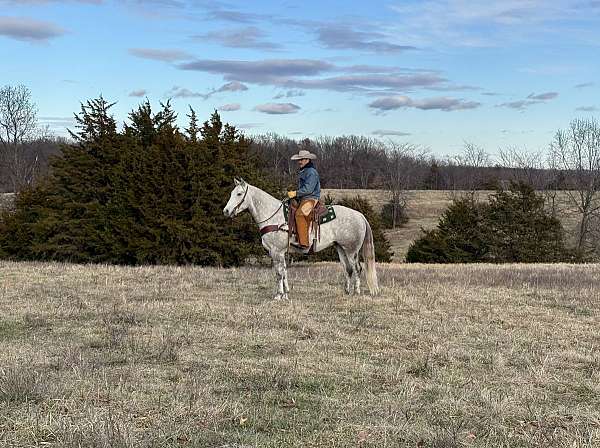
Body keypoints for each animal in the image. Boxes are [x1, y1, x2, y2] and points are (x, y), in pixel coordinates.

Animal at [223, 177, 378, 300]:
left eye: (239, 194)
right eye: (231, 193)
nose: (226, 211)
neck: (272, 215)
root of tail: (360, 215)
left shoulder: (276, 251)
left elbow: (279, 273)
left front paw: (278, 295)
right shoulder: (280, 252)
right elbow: (284, 271)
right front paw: (285, 294)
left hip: (352, 250)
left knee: (357, 268)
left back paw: (356, 292)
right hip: (341, 248)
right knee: (348, 269)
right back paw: (347, 292)